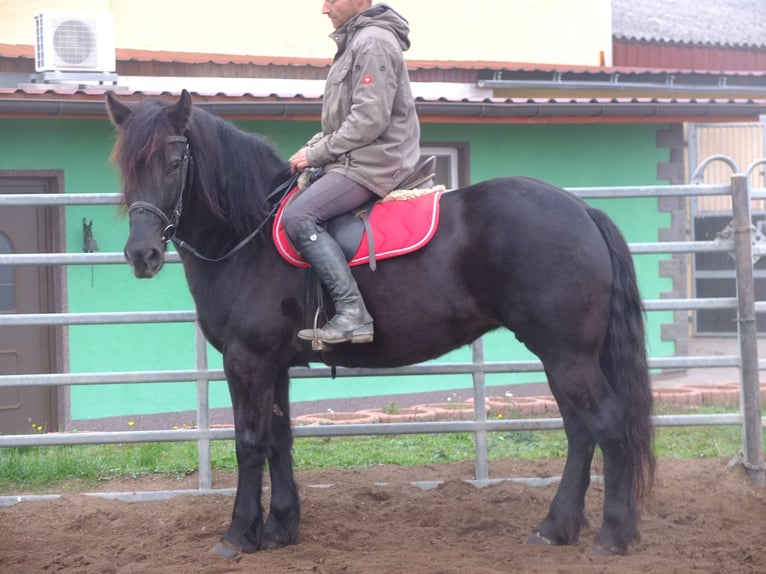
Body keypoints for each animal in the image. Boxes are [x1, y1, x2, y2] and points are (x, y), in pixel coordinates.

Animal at [106, 92, 656, 560]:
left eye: (174, 161)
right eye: (126, 165)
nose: (141, 255)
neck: (249, 236)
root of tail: (581, 209)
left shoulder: (247, 361)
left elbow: (249, 442)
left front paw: (239, 534)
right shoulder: (275, 365)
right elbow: (280, 439)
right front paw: (281, 528)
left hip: (567, 355)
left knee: (606, 425)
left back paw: (611, 535)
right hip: (561, 355)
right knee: (580, 431)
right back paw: (556, 527)